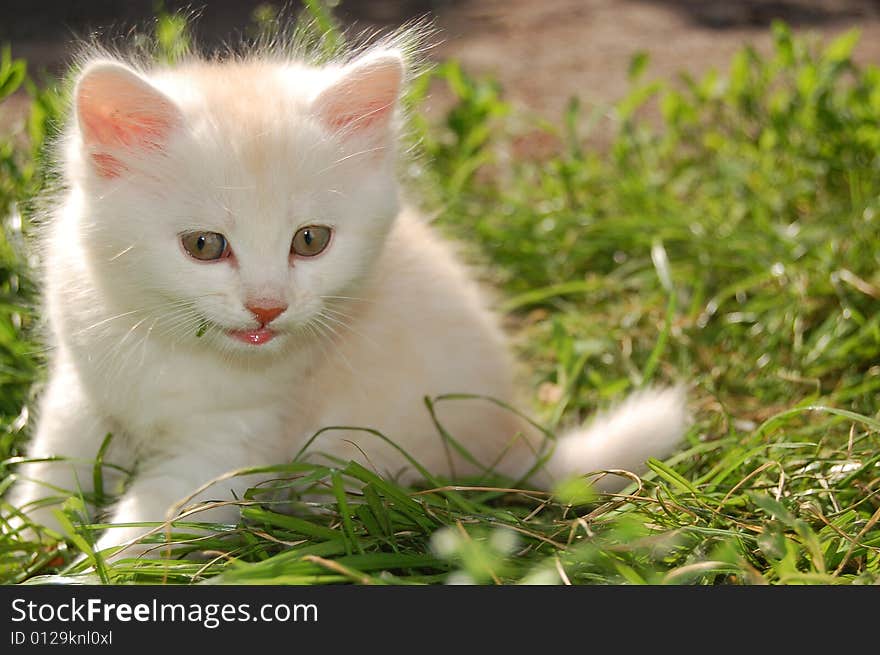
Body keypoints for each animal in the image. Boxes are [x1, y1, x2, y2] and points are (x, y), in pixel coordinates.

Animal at [8, 41, 688, 556]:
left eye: (310, 241)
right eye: (204, 245)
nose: (267, 306)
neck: (171, 350)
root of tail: (513, 438)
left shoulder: (225, 452)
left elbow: (141, 537)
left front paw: (75, 577)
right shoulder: (78, 392)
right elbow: (47, 477)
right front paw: (26, 539)